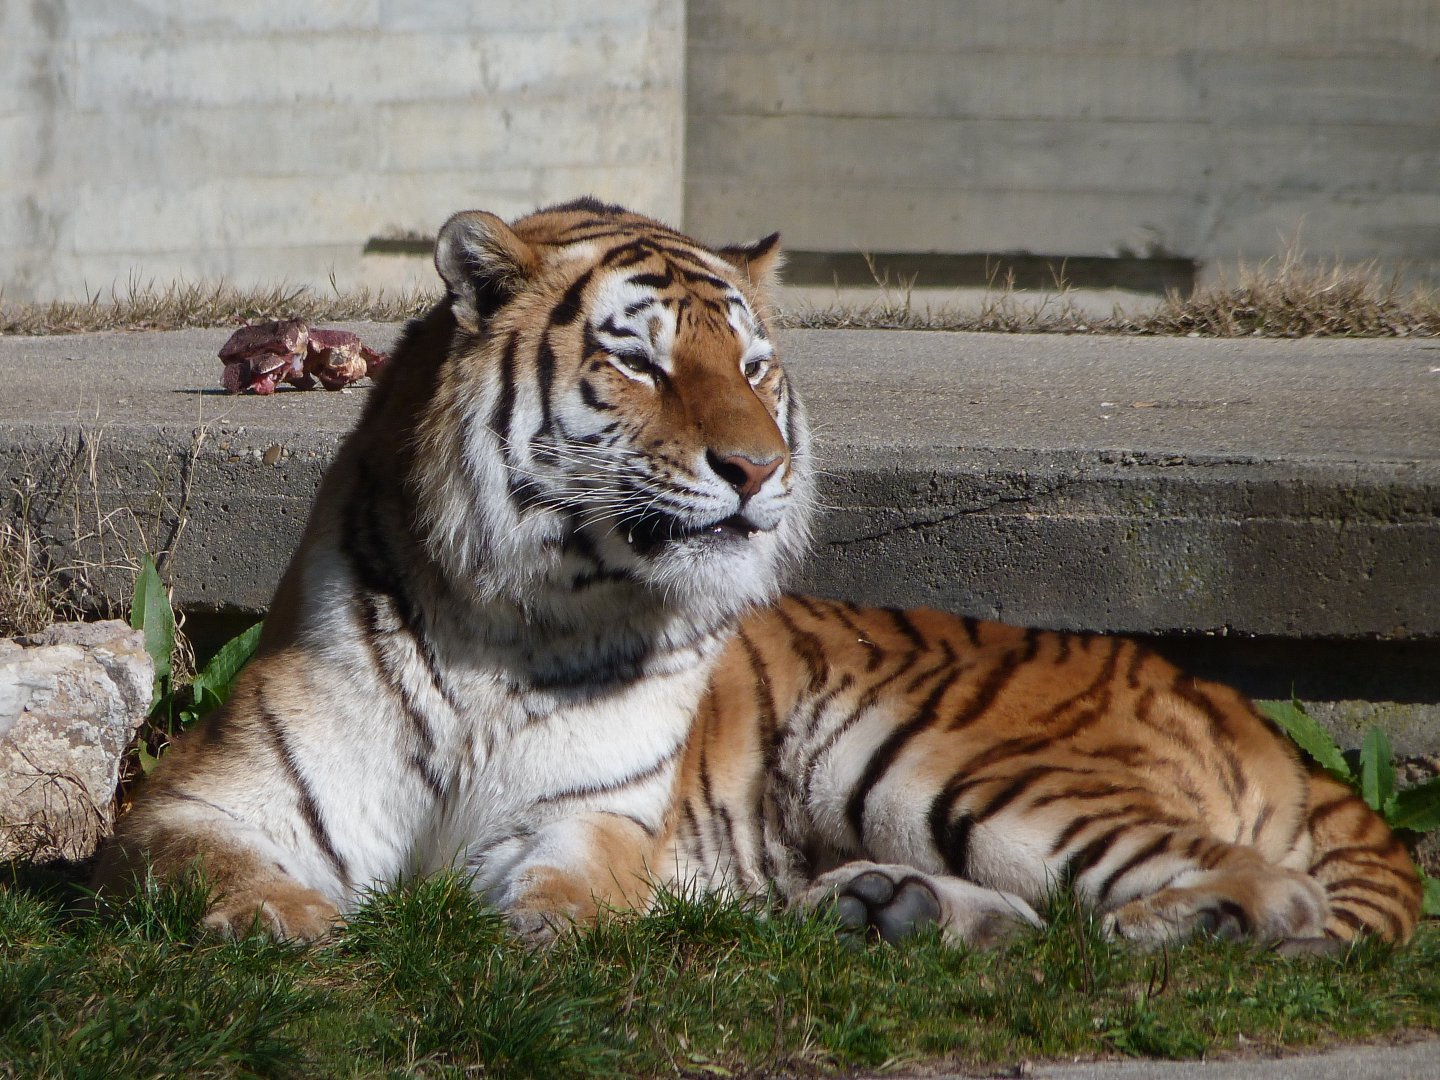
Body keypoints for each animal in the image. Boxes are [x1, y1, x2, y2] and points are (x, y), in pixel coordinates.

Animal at [95, 198, 1422, 950]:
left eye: (751, 363)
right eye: (639, 362)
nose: (758, 467)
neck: (515, 621)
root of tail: (1224, 700)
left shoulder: (586, 817)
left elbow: (568, 893)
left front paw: (540, 938)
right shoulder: (200, 801)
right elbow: (208, 862)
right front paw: (283, 922)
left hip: (950, 764)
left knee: (1264, 886)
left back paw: (1180, 930)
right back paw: (894, 915)